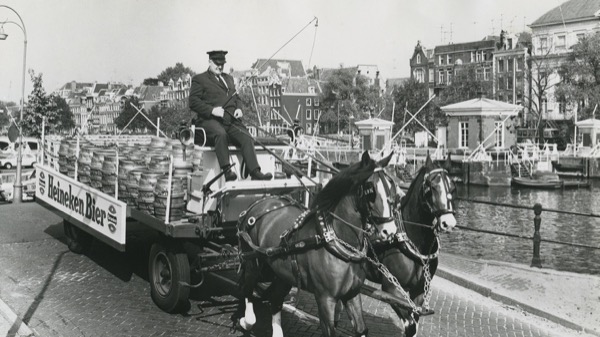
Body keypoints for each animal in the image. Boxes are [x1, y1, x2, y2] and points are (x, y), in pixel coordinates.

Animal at [238, 152, 398, 336]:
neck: (335, 241)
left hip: (282, 274)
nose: (389, 231)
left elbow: (361, 329)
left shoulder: (352, 294)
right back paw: (246, 321)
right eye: (370, 190)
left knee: (275, 300)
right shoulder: (325, 299)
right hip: (253, 263)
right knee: (247, 291)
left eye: (392, 186)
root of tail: (259, 203)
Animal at [364, 154, 458, 334]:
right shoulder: (391, 288)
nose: (448, 222)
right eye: (430, 187)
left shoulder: (419, 290)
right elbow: (410, 324)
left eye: (453, 187)